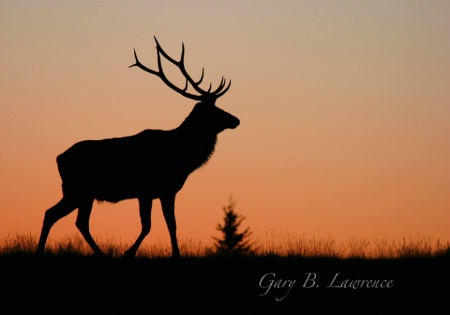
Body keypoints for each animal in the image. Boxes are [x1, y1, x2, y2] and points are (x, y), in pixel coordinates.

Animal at [36, 37, 239, 260]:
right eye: (214, 110)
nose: (236, 120)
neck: (181, 158)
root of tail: (59, 158)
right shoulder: (151, 190)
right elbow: (152, 226)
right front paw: (131, 253)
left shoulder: (164, 191)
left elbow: (169, 225)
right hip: (76, 189)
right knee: (54, 214)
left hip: (83, 193)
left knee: (75, 220)